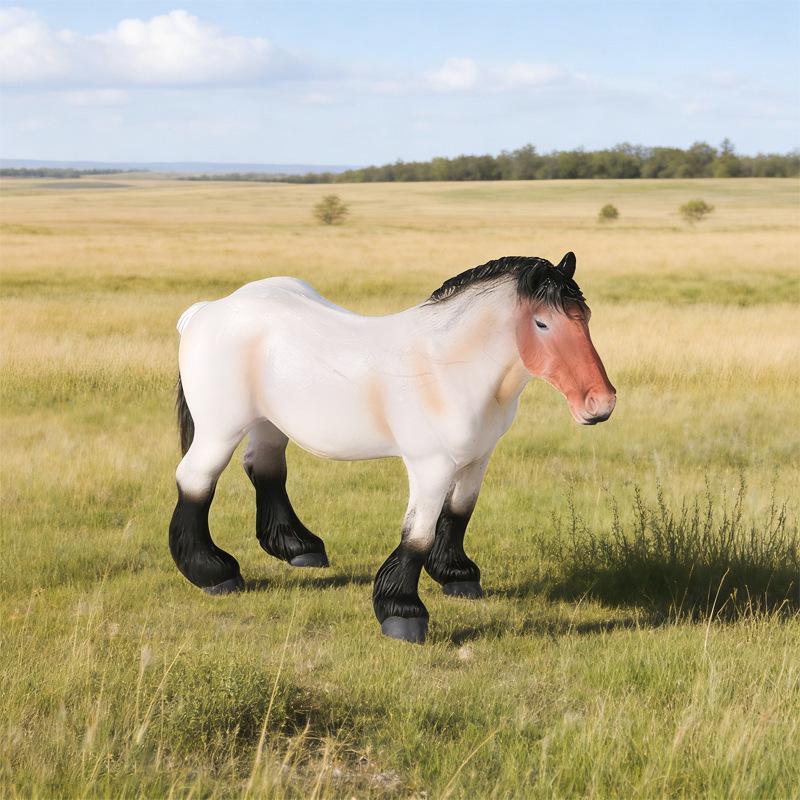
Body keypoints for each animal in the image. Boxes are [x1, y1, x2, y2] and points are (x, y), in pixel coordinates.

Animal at [169, 252, 616, 643]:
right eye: (542, 323)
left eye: (586, 318)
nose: (600, 403)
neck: (447, 368)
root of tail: (207, 310)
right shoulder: (430, 464)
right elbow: (417, 534)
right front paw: (402, 614)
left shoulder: (476, 459)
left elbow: (459, 513)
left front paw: (457, 576)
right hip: (220, 429)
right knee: (196, 481)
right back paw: (215, 573)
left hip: (269, 424)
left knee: (265, 470)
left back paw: (300, 549)